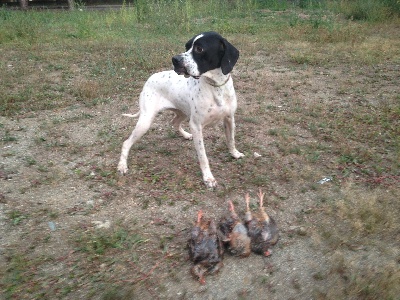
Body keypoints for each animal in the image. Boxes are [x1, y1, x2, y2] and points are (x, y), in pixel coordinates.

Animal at [117, 32, 244, 188]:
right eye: (186, 46)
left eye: (199, 49)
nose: (175, 59)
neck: (216, 86)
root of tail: (148, 80)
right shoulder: (196, 126)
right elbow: (203, 156)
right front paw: (208, 177)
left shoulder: (229, 119)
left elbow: (231, 140)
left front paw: (235, 154)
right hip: (146, 121)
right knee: (126, 143)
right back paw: (122, 165)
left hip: (182, 113)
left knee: (174, 122)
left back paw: (186, 135)